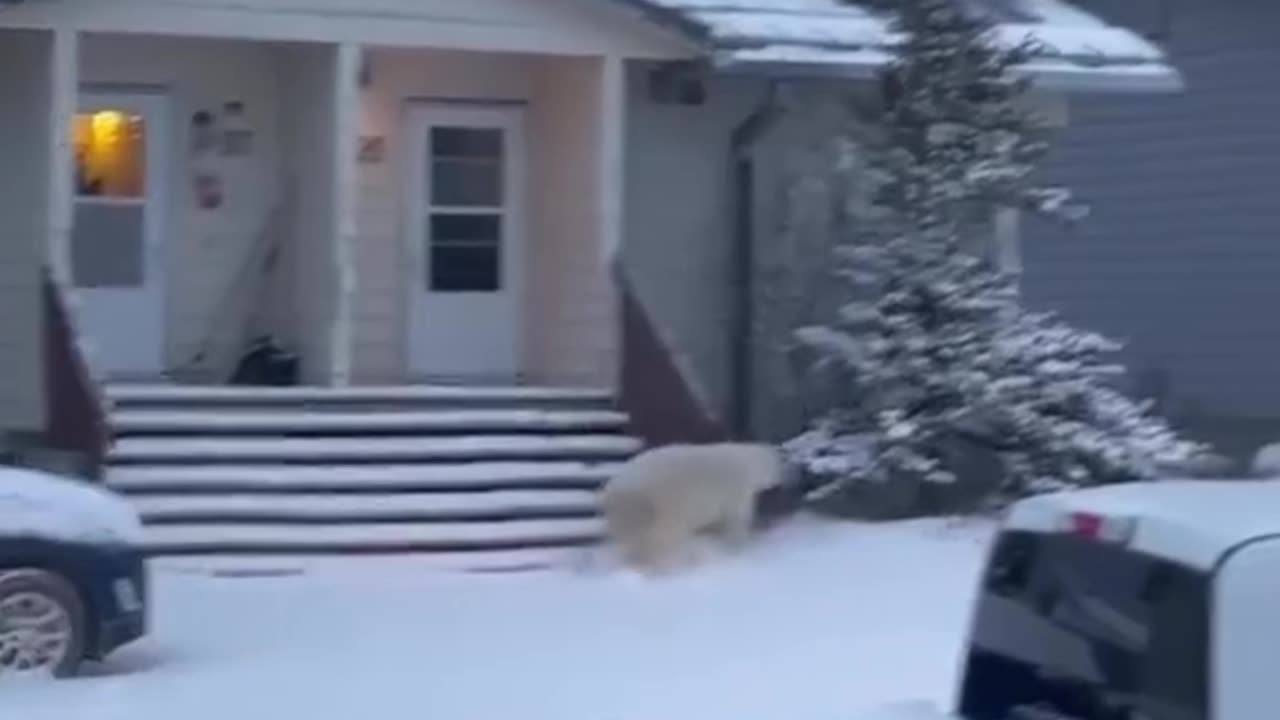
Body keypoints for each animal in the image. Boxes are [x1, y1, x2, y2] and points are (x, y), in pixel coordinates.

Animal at [599, 442, 784, 574]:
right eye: (780, 459)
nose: (786, 471)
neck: (747, 461)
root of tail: (613, 492)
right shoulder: (736, 490)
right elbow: (737, 521)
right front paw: (738, 549)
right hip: (662, 504)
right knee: (664, 540)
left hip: (630, 516)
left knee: (635, 542)